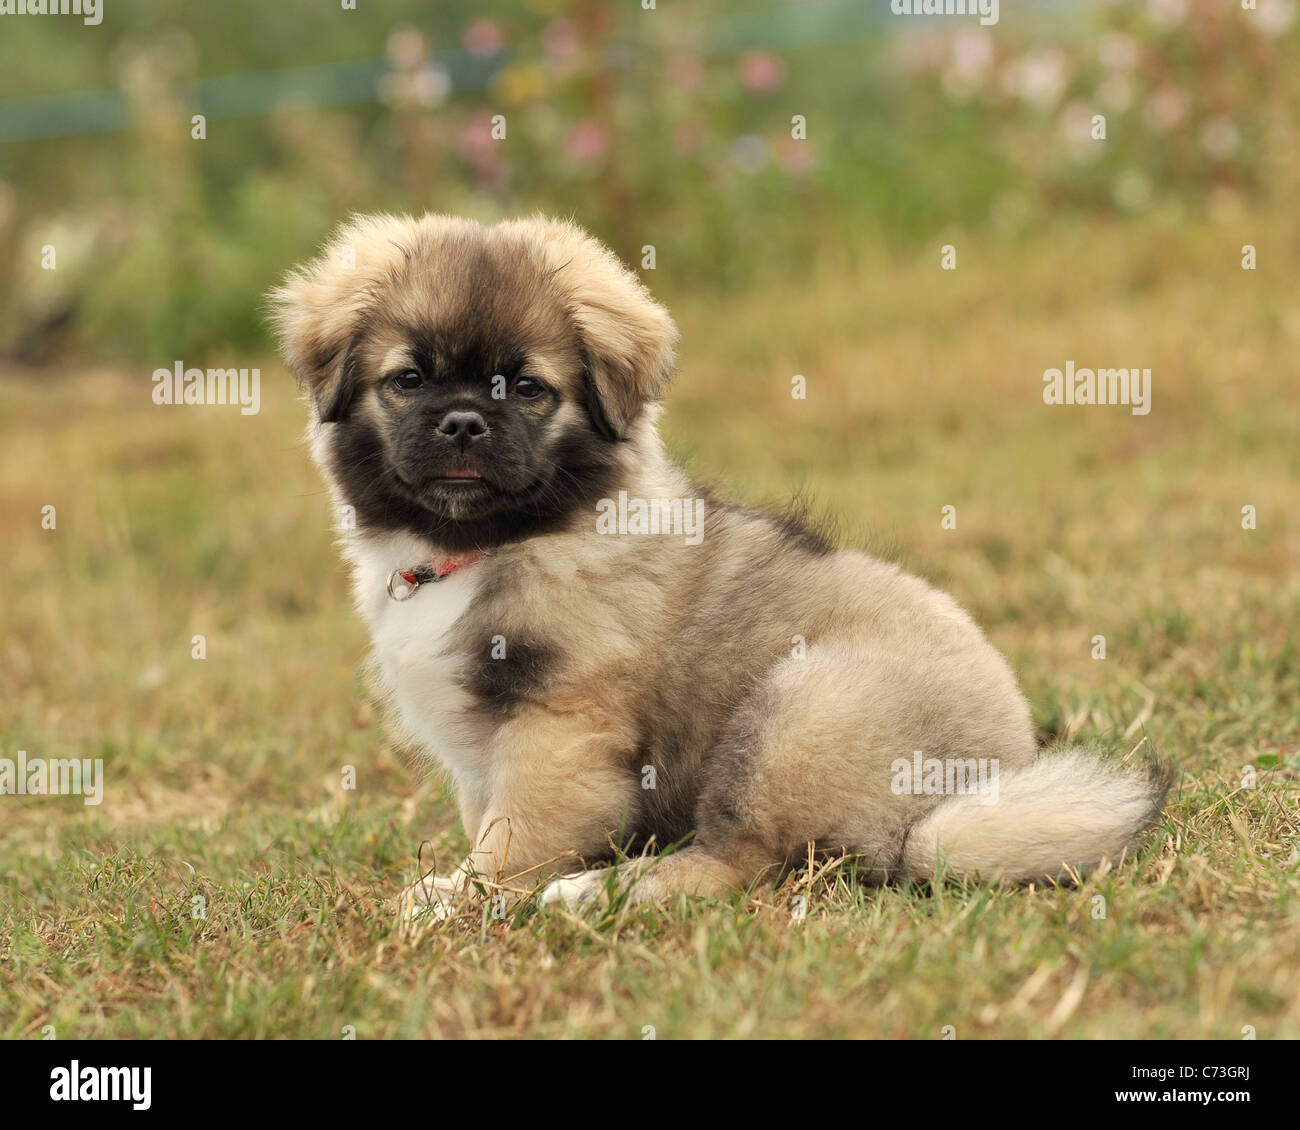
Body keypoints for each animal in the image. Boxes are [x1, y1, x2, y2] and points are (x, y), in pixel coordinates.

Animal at [269, 213, 1175, 915]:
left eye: (527, 389)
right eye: (407, 379)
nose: (462, 423)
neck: (487, 547)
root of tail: (959, 799)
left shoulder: (560, 729)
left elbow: (513, 838)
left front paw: (462, 898)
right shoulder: (482, 754)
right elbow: (486, 818)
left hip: (798, 713)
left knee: (737, 863)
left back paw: (596, 894)